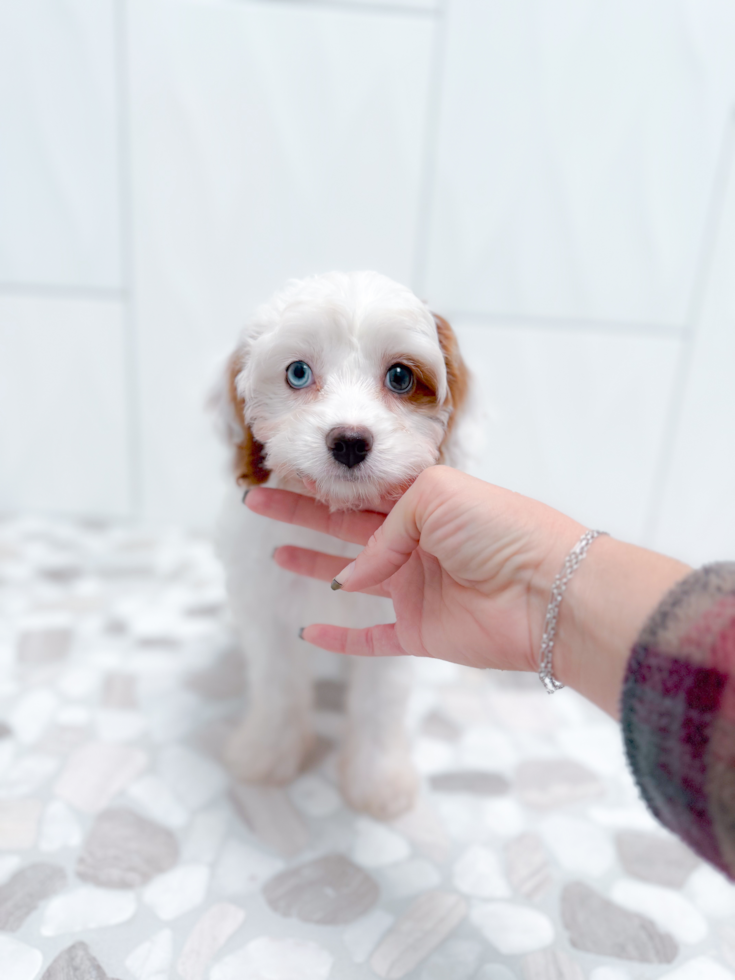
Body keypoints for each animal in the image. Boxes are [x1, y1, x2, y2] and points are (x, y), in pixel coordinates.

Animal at [213, 268, 472, 820]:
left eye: (400, 377)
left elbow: (379, 702)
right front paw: (266, 754)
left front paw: (379, 781)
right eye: (297, 373)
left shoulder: (392, 618)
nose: (350, 441)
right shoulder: (267, 608)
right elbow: (277, 684)